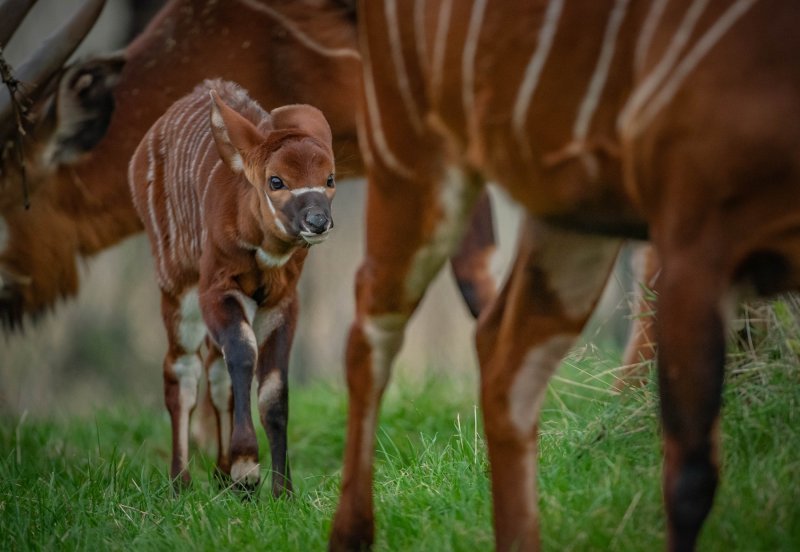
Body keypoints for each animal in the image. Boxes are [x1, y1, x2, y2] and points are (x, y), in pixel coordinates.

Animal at [130, 80, 336, 494]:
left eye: (330, 179)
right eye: (276, 180)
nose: (318, 221)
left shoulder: (281, 303)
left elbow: (274, 389)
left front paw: (281, 491)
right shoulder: (217, 290)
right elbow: (242, 355)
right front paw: (247, 471)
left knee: (215, 371)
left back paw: (221, 475)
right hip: (177, 289)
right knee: (183, 371)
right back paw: (181, 482)